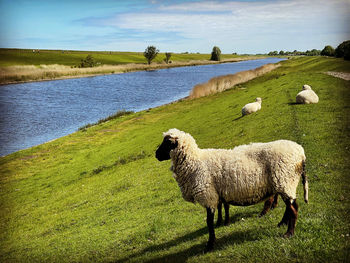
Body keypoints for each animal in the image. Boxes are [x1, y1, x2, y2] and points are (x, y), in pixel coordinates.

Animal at [154, 129, 308, 253]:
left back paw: (289, 233)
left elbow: (209, 222)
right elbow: (221, 209)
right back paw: (282, 224)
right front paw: (221, 223)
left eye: (167, 142)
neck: (194, 161)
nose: (156, 155)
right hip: (284, 184)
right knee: (290, 206)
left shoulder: (208, 195)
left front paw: (210, 245)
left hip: (284, 180)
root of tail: (301, 152)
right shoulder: (217, 194)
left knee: (293, 208)